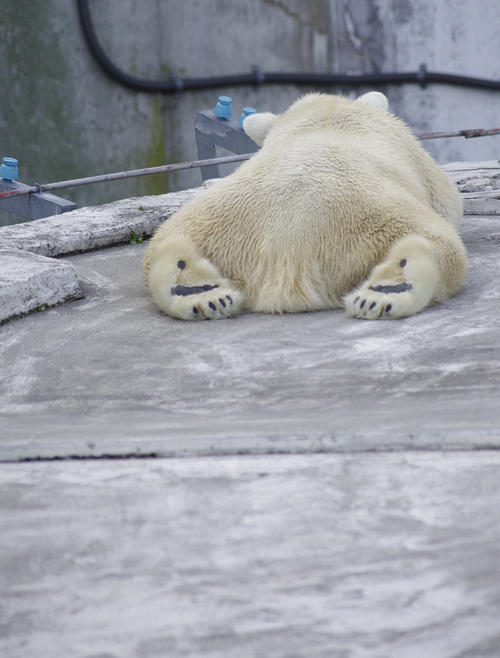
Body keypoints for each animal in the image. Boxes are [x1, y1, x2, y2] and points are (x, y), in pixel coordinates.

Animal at [143, 90, 466, 320]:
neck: (326, 116)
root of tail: (291, 246)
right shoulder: (417, 159)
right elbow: (448, 198)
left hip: (214, 223)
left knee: (164, 245)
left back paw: (201, 295)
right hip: (377, 219)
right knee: (439, 243)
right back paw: (383, 295)